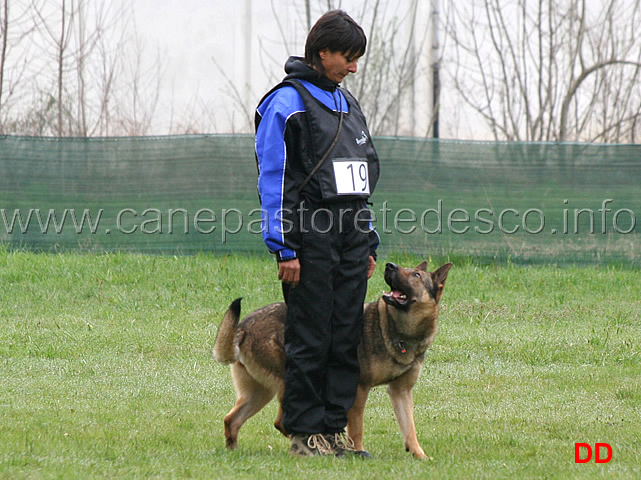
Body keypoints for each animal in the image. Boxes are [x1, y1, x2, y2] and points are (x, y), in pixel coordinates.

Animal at [212, 260, 452, 460]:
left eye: (416, 274)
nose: (389, 265)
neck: (400, 331)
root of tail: (242, 328)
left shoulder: (401, 392)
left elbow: (410, 428)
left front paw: (420, 455)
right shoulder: (359, 389)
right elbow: (357, 428)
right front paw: (358, 452)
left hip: (260, 393)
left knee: (232, 420)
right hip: (288, 384)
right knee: (282, 422)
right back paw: (313, 445)